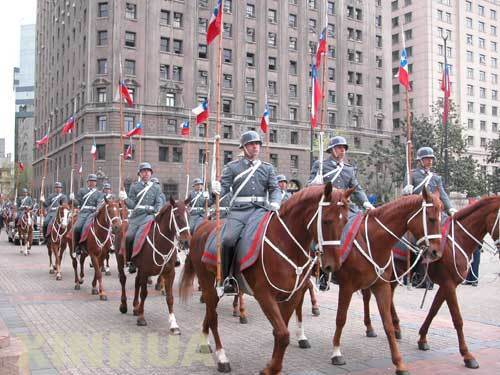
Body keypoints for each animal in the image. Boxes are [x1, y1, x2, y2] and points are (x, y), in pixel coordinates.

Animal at [116, 198, 190, 334]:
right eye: (177, 216)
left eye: (189, 215)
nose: (186, 242)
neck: (161, 242)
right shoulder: (145, 271)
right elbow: (144, 293)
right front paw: (141, 318)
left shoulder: (169, 273)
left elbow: (170, 298)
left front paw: (174, 324)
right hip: (120, 262)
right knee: (123, 280)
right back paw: (124, 305)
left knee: (136, 282)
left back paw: (135, 307)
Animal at [180, 184, 352, 374]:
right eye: (326, 220)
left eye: (345, 221)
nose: (332, 266)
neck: (286, 243)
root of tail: (202, 228)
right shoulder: (264, 295)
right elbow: (283, 334)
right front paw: (271, 368)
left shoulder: (292, 296)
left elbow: (281, 331)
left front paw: (273, 365)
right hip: (207, 283)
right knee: (213, 318)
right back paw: (222, 358)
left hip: (215, 288)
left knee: (210, 314)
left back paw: (205, 342)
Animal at [320, 189, 442, 375]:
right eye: (431, 218)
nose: (436, 252)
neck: (373, 239)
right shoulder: (346, 287)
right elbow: (341, 318)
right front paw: (336, 353)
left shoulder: (381, 285)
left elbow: (388, 324)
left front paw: (399, 363)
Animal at [362, 197, 498, 370]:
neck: (458, 240)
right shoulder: (449, 284)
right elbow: (457, 319)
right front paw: (467, 355)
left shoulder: (447, 285)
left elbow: (433, 310)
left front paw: (422, 339)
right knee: (368, 296)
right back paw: (370, 327)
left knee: (388, 296)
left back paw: (396, 327)